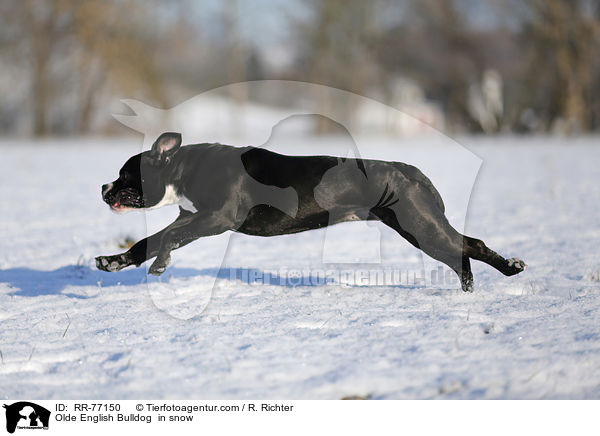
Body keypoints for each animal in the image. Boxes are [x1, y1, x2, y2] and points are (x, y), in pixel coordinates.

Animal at [95, 131, 524, 292]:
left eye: (125, 175)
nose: (103, 187)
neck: (184, 169)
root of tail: (409, 171)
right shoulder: (191, 217)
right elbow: (148, 241)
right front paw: (113, 261)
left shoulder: (216, 218)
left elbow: (166, 238)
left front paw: (161, 265)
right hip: (419, 226)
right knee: (463, 251)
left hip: (420, 225)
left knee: (467, 246)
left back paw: (505, 270)